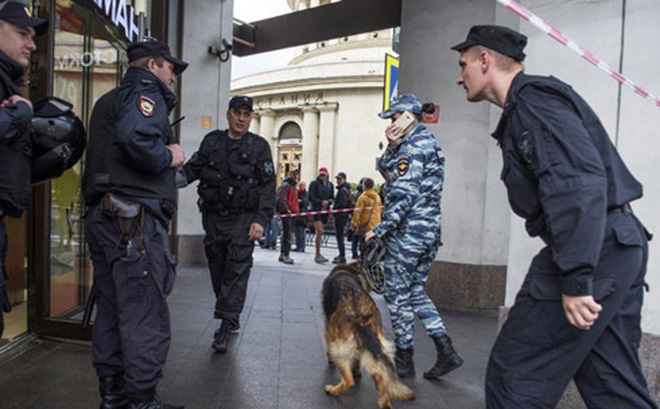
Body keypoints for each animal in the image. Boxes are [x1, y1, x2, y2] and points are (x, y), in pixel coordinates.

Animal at [322, 262, 416, 406]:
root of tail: (360, 317)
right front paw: (357, 370)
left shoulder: (328, 326)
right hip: (379, 344)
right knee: (380, 374)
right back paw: (384, 403)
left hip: (339, 348)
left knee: (349, 381)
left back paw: (333, 390)